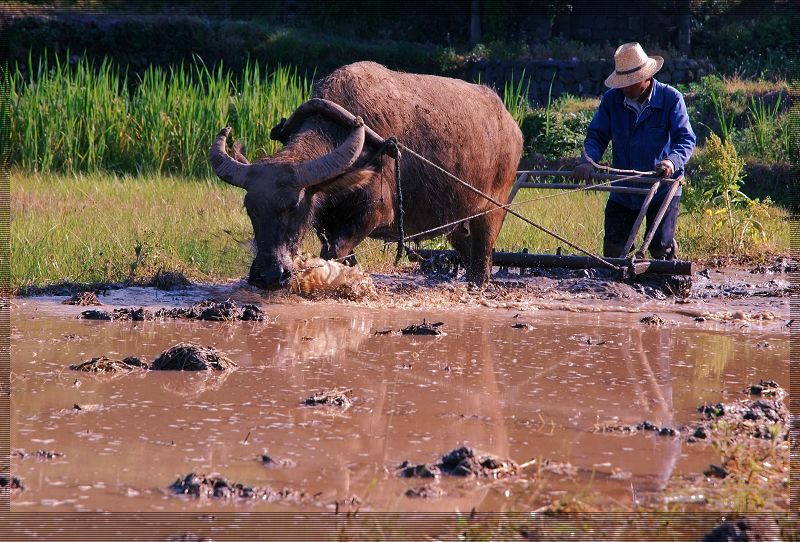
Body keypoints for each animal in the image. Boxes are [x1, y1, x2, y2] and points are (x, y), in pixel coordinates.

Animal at [211, 60, 524, 288]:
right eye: (251, 209)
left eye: (293, 207)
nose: (268, 276)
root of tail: (513, 127)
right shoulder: (326, 221)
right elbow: (342, 254)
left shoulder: (375, 213)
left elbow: (334, 252)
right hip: (456, 219)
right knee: (466, 248)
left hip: (492, 209)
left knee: (483, 255)